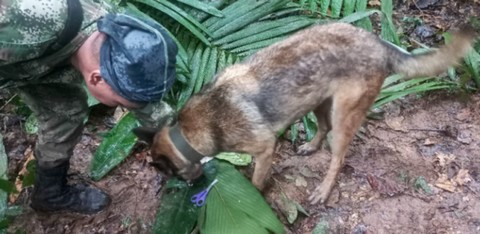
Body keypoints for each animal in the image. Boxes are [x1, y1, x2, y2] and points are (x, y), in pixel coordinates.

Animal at [134, 22, 476, 205]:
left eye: (170, 174)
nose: (189, 188)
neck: (190, 131)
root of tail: (378, 42)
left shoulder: (264, 148)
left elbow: (256, 180)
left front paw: (253, 195)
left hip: (343, 116)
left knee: (338, 157)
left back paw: (323, 190)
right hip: (318, 101)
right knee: (321, 128)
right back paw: (310, 147)